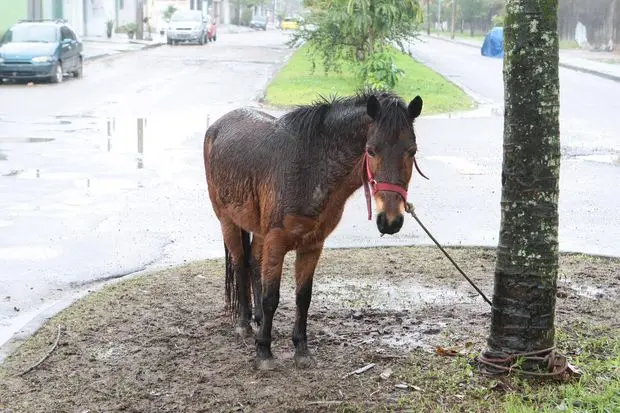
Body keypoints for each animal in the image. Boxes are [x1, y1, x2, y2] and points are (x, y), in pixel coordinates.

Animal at [203, 89, 426, 366]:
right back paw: (244, 323)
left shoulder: (312, 245)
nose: (390, 220)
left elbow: (303, 297)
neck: (310, 167)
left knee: (253, 263)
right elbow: (271, 297)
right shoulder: (276, 241)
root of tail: (217, 126)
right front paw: (264, 350)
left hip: (258, 229)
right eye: (371, 151)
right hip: (228, 221)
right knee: (240, 264)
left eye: (412, 151)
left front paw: (301, 348)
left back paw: (258, 320)